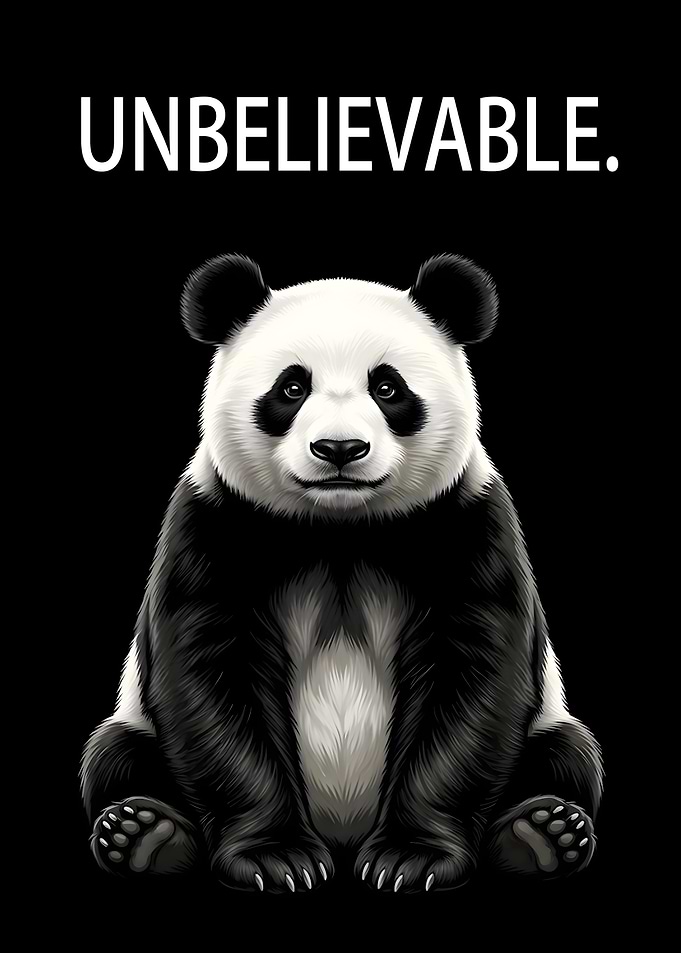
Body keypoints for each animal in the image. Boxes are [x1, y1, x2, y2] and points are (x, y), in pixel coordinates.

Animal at [81, 253, 603, 893]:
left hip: (548, 721)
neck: (340, 530)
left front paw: (411, 857)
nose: (339, 449)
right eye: (291, 387)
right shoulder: (213, 525)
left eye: (388, 387)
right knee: (115, 758)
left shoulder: (467, 523)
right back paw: (145, 835)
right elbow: (213, 675)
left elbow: (470, 675)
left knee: (568, 757)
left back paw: (541, 834)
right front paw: (278, 858)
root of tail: (342, 830)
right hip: (135, 721)